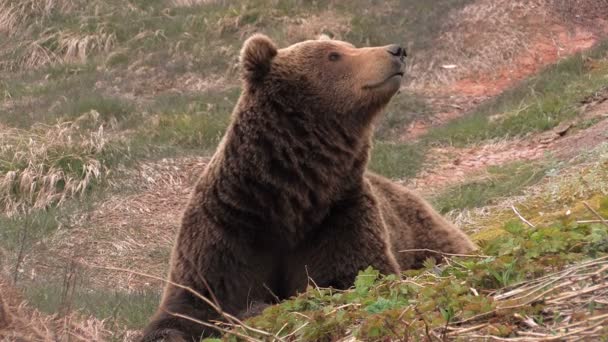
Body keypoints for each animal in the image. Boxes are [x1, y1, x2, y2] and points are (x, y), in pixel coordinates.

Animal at [142, 34, 476, 342]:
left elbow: (352, 276)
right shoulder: (227, 230)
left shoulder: (336, 216)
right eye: (334, 55)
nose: (397, 50)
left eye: (347, 47)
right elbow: (190, 308)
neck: (290, 199)